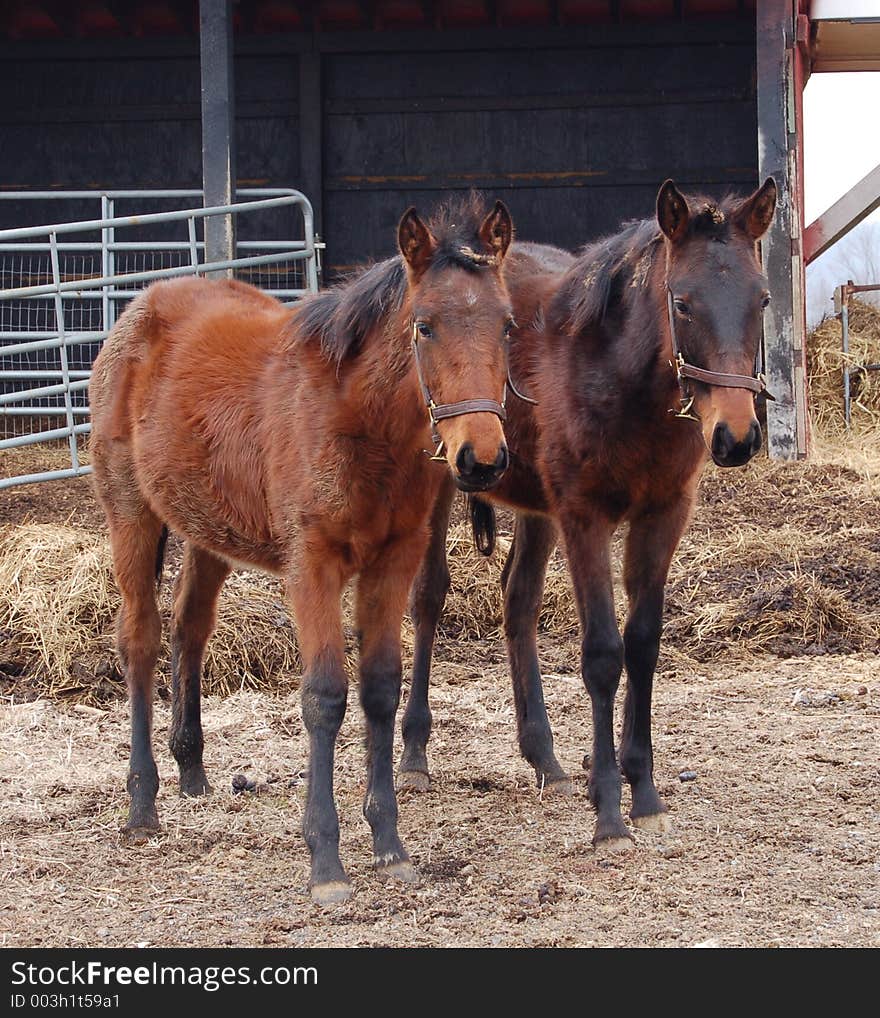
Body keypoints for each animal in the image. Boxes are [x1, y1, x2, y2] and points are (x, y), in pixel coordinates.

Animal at [399, 181, 778, 851]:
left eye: (760, 299)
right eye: (682, 303)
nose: (736, 438)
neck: (616, 379)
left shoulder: (662, 514)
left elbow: (642, 644)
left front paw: (644, 792)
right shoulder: (585, 515)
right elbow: (602, 653)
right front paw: (609, 814)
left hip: (534, 506)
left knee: (517, 599)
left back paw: (545, 760)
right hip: (446, 478)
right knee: (430, 597)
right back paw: (415, 756)